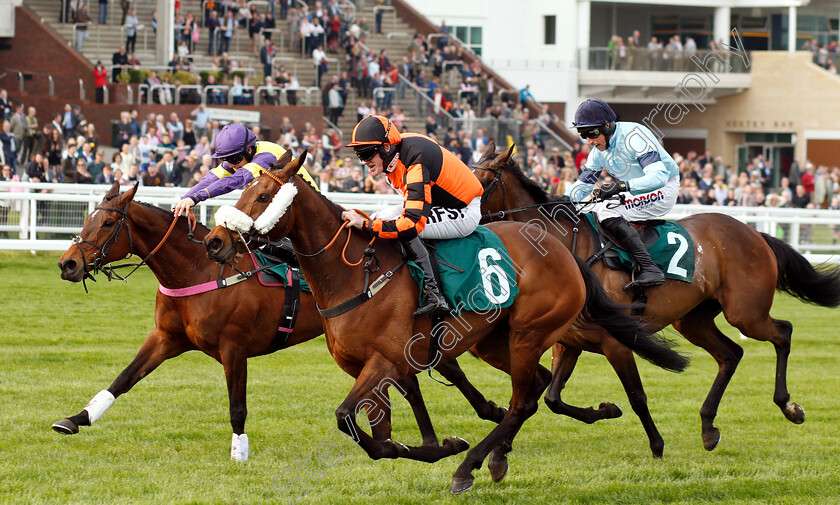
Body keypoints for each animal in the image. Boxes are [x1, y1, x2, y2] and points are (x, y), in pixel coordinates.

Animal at [55, 180, 508, 460]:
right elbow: (123, 379)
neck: (198, 270)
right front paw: (77, 419)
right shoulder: (166, 337)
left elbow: (237, 405)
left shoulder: (233, 347)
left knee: (447, 370)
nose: (67, 264)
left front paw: (239, 451)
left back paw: (490, 413)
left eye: (107, 222)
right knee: (414, 383)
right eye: (87, 218)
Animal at [200, 152, 684, 490]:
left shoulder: (384, 361)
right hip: (495, 340)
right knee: (537, 388)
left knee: (523, 400)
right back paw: (510, 450)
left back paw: (471, 468)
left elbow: (347, 419)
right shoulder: (379, 366)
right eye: (241, 191)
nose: (215, 241)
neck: (353, 273)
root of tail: (564, 252)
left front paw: (446, 451)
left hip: (529, 333)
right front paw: (435, 446)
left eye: (263, 197)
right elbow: (388, 434)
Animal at [472, 140, 840, 450]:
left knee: (782, 333)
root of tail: (753, 232)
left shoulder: (616, 341)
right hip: (692, 321)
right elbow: (553, 399)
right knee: (731, 354)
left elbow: (636, 396)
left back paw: (788, 405)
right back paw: (708, 426)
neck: (567, 248)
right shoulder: (569, 342)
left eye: (482, 183)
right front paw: (603, 411)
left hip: (746, 313)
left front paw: (657, 444)